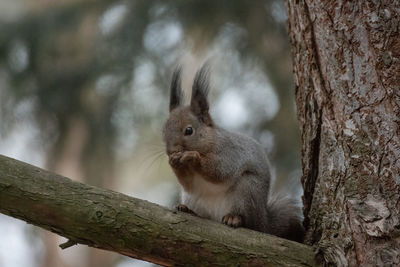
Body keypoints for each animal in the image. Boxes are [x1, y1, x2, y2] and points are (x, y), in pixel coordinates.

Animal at [163, 65, 306, 243]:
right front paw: (174, 162)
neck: (210, 142)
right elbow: (188, 184)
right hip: (194, 199)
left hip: (247, 190)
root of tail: (262, 222)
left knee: (248, 222)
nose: (171, 151)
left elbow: (220, 171)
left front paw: (192, 157)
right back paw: (188, 210)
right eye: (164, 130)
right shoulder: (190, 184)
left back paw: (234, 218)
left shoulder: (231, 154)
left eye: (189, 130)